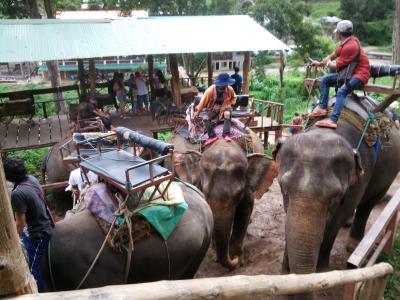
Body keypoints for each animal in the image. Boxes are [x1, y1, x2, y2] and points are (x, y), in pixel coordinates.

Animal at [169, 134, 278, 270]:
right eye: (204, 192)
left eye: (238, 194)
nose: (233, 260)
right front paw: (216, 257)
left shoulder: (247, 189)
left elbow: (244, 213)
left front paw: (238, 259)